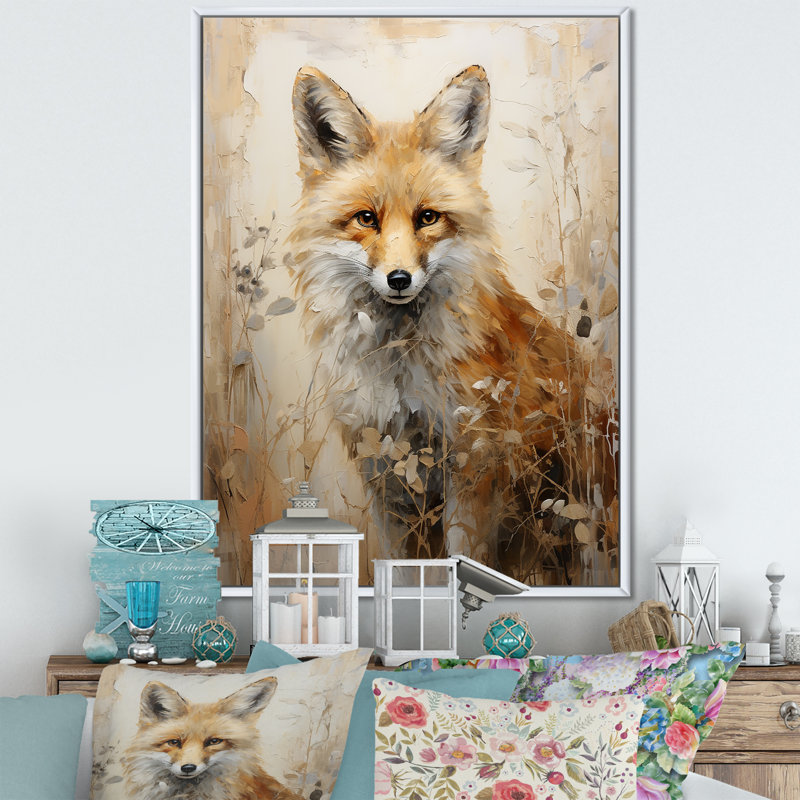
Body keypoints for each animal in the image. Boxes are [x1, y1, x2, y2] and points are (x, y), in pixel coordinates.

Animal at [289, 65, 617, 581]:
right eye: (366, 218)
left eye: (428, 217)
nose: (399, 279)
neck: (400, 374)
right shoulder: (385, 477)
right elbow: (398, 565)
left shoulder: (474, 469)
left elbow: (464, 560)